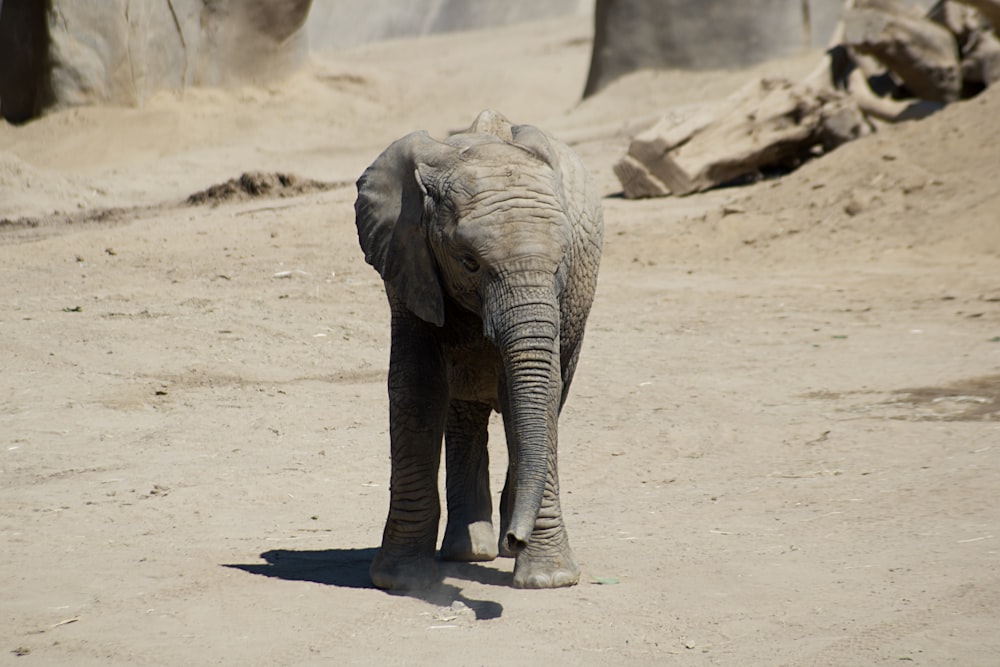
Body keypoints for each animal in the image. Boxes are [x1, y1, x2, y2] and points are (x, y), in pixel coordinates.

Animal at [354, 108, 600, 588]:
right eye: (469, 262)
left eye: (561, 262)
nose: (516, 540)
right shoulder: (408, 262)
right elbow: (416, 388)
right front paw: (401, 580)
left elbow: (538, 391)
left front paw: (548, 580)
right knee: (464, 410)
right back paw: (471, 552)